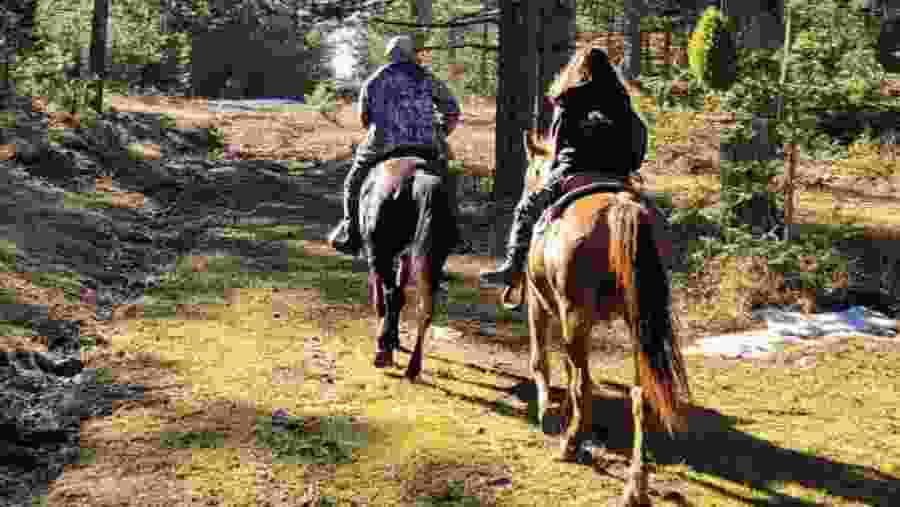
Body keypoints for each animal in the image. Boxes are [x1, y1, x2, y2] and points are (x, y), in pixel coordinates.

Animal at [359, 146, 456, 381]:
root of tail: (419, 176)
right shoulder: (406, 256)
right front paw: (395, 339)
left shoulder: (377, 255)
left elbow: (383, 299)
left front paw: (389, 340)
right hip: (432, 259)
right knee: (425, 307)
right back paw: (413, 366)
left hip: (380, 253)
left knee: (392, 295)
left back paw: (383, 353)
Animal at [503, 129, 691, 462]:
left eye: (531, 174)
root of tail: (621, 208)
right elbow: (567, 368)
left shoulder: (539, 304)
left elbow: (542, 361)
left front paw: (548, 416)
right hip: (637, 323)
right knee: (639, 392)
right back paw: (637, 470)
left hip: (575, 314)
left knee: (584, 383)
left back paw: (570, 443)